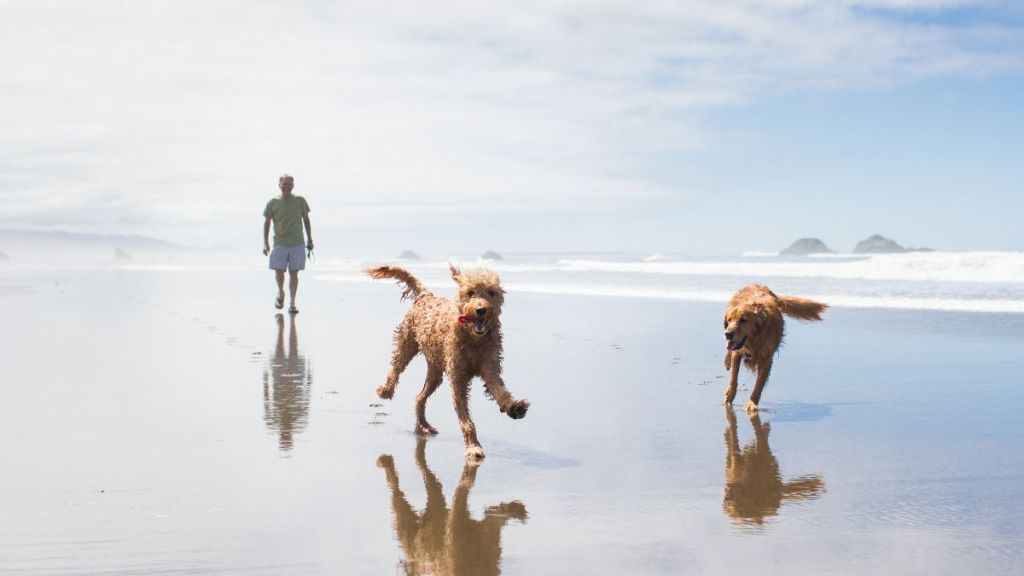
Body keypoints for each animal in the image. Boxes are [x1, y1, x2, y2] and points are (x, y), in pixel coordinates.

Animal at [366, 264, 528, 457]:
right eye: (471, 292)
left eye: (491, 293)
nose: (481, 310)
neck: (473, 339)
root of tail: (426, 295)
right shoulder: (458, 378)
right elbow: (466, 419)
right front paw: (473, 446)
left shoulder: (490, 368)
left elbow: (500, 391)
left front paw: (514, 407)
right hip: (406, 343)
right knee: (396, 367)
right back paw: (386, 390)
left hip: (435, 369)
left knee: (420, 396)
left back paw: (424, 425)